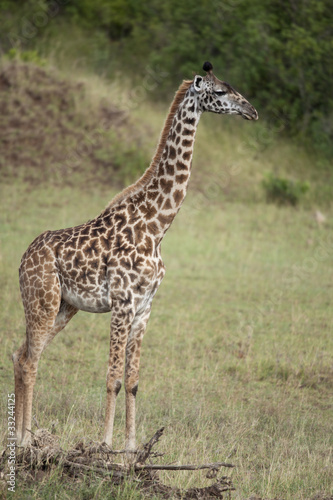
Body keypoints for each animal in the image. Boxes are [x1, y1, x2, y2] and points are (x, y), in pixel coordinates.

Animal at [12, 61, 256, 450]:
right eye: (220, 92)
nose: (252, 110)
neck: (157, 227)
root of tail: (23, 258)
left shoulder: (145, 307)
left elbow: (133, 381)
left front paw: (130, 447)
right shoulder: (122, 303)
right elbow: (112, 377)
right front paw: (106, 445)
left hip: (65, 308)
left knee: (20, 356)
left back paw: (22, 437)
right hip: (42, 301)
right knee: (31, 361)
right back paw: (23, 441)